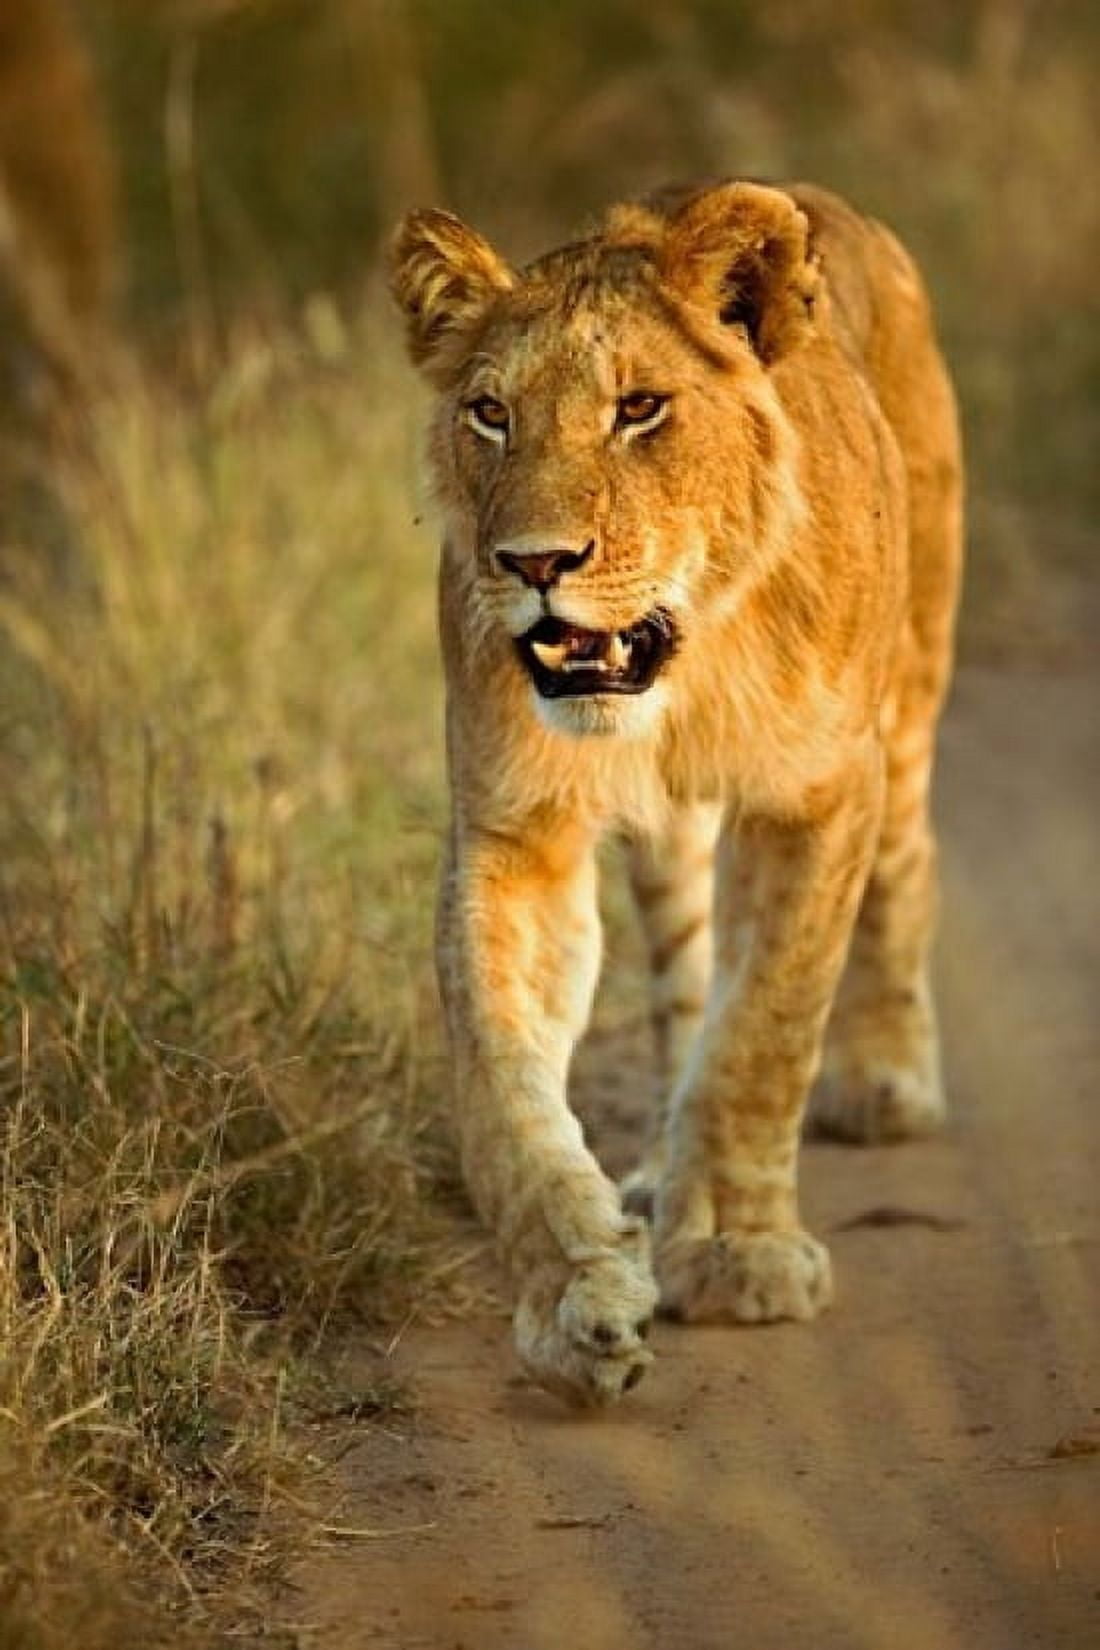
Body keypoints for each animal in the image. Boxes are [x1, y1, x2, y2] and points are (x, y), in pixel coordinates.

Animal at [390, 179, 963, 1405]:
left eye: (640, 408)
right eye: (490, 414)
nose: (533, 563)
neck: (685, 664)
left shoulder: (817, 796)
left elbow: (765, 1031)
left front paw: (740, 1255)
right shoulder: (516, 828)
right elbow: (501, 1081)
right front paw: (577, 1297)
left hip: (910, 688)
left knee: (908, 864)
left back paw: (885, 1079)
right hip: (672, 842)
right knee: (685, 983)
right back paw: (657, 1169)